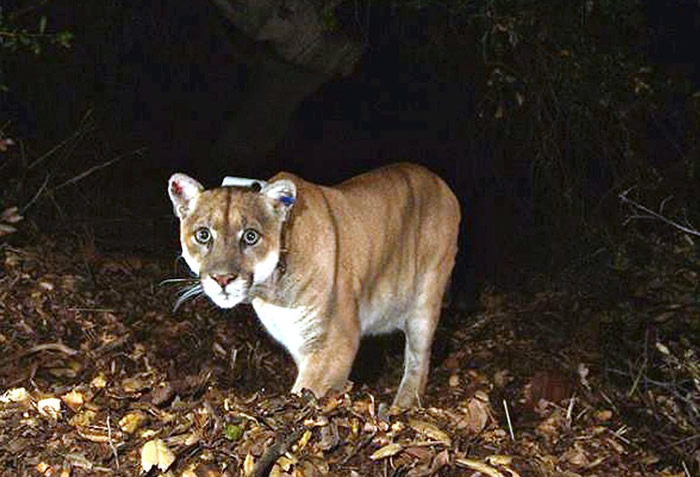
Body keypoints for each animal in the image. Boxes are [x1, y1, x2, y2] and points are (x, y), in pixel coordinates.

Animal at [169, 163, 460, 406]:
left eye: (250, 236)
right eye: (203, 235)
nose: (223, 279)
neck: (271, 292)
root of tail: (439, 181)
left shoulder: (335, 342)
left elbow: (306, 391)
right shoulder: (300, 342)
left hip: (425, 300)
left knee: (418, 360)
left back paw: (403, 405)